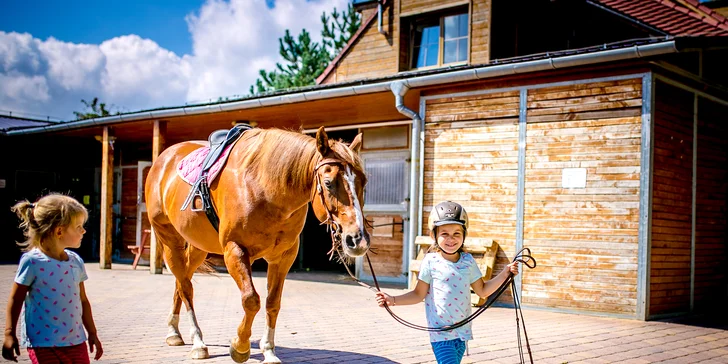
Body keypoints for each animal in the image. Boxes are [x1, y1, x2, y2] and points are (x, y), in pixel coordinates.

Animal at [144, 126, 370, 362]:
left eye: (364, 182)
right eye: (328, 183)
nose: (358, 240)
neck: (263, 187)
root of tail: (163, 159)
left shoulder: (283, 257)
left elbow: (273, 302)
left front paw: (268, 350)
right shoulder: (234, 250)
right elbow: (251, 300)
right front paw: (240, 346)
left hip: (198, 246)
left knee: (182, 281)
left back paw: (174, 331)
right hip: (169, 240)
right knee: (186, 287)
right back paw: (197, 342)